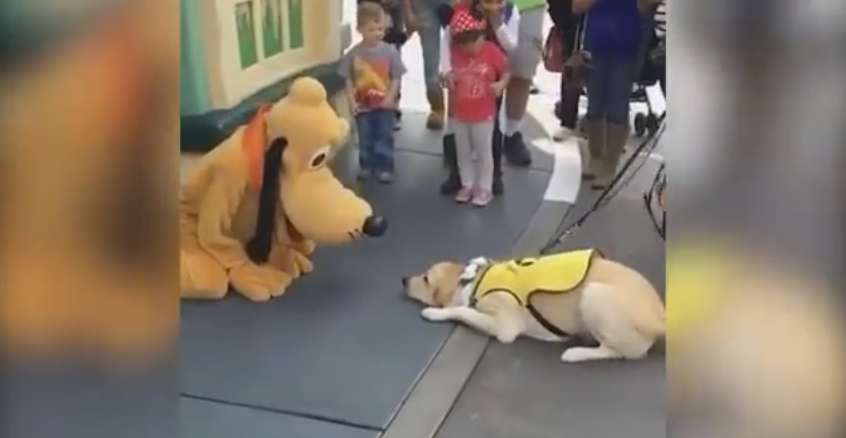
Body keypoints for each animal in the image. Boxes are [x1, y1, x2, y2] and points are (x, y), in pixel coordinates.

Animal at [404, 250, 668, 362]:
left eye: (426, 279)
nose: (403, 279)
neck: (475, 278)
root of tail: (659, 318)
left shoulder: (504, 327)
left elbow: (461, 310)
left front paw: (435, 312)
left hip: (593, 294)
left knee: (618, 352)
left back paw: (576, 353)